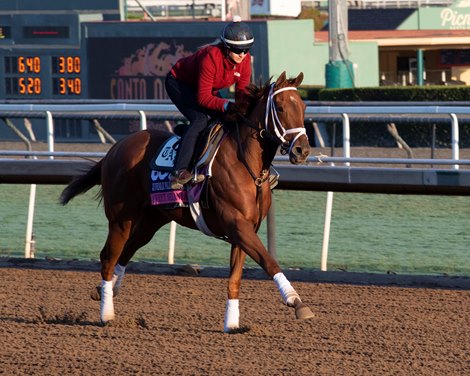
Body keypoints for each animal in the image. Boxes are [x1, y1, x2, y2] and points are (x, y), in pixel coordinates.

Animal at [60, 71, 314, 332]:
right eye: (281, 107)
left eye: (303, 106)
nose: (302, 150)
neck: (246, 165)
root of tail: (114, 149)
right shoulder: (236, 223)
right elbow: (268, 261)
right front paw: (296, 301)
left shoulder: (245, 228)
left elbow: (235, 278)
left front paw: (232, 324)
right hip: (121, 218)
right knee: (108, 258)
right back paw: (106, 314)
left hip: (150, 220)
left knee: (126, 252)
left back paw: (105, 289)